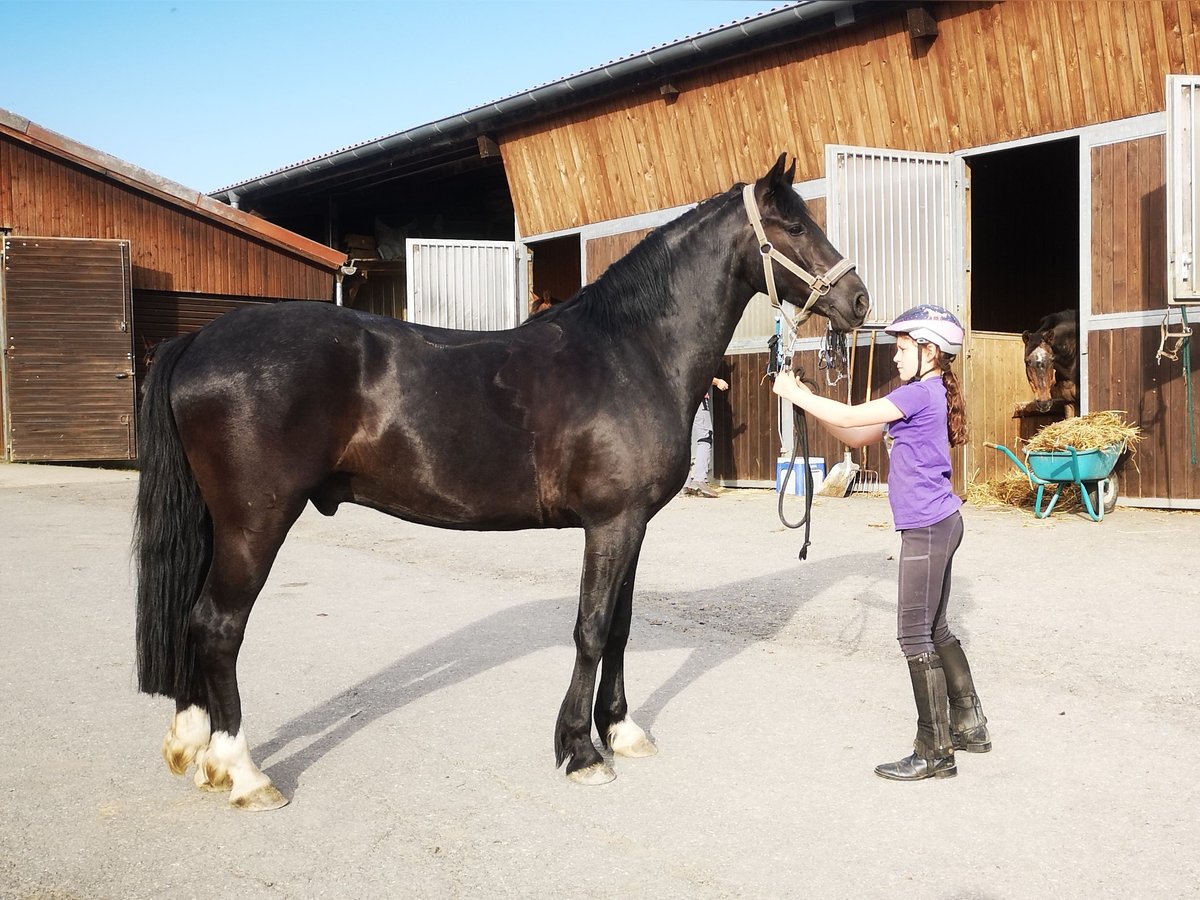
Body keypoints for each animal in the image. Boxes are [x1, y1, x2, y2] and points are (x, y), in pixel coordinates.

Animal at [136, 154, 868, 811]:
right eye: (794, 225)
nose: (858, 300)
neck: (630, 353)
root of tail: (199, 341)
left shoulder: (632, 526)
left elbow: (621, 627)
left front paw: (621, 731)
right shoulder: (611, 524)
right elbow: (591, 628)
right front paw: (580, 752)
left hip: (219, 523)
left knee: (193, 619)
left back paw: (194, 746)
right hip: (255, 523)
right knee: (217, 625)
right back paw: (243, 771)